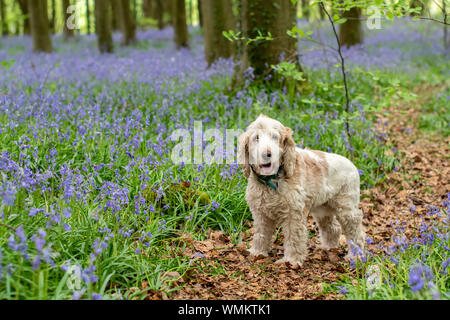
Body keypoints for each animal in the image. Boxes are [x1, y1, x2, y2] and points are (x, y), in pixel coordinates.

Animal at [237, 114, 364, 266]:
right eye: (256, 138)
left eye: (275, 137)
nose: (267, 154)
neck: (271, 181)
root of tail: (352, 164)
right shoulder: (260, 213)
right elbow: (260, 234)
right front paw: (257, 252)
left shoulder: (293, 214)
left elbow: (293, 238)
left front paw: (291, 260)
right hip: (322, 208)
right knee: (332, 227)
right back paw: (328, 248)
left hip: (346, 207)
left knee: (355, 230)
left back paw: (355, 256)